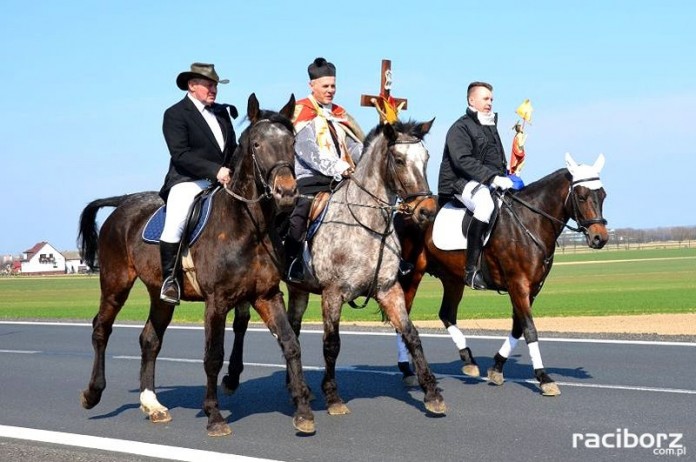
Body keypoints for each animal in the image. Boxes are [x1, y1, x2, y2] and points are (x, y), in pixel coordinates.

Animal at [77, 94, 316, 436]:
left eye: (292, 142)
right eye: (257, 144)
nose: (286, 192)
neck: (248, 225)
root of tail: (124, 202)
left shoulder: (267, 295)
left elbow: (290, 343)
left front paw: (303, 411)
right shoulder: (216, 302)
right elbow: (213, 356)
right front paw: (214, 416)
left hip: (159, 294)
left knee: (150, 339)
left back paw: (152, 404)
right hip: (115, 284)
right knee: (101, 329)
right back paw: (93, 393)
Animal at [226, 118, 448, 416]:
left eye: (426, 158)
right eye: (399, 160)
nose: (427, 211)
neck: (366, 226)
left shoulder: (389, 290)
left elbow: (411, 335)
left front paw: (432, 393)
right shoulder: (333, 294)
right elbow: (332, 344)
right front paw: (333, 396)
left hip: (298, 289)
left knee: (292, 329)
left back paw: (294, 385)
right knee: (241, 324)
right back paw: (232, 378)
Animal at [394, 153, 608, 396]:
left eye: (603, 195)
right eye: (581, 196)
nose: (600, 238)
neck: (529, 222)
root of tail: (405, 209)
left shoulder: (532, 289)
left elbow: (518, 328)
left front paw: (497, 367)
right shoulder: (518, 285)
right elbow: (529, 329)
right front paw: (543, 377)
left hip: (452, 279)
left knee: (446, 314)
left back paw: (468, 360)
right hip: (411, 276)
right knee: (402, 316)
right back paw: (407, 370)